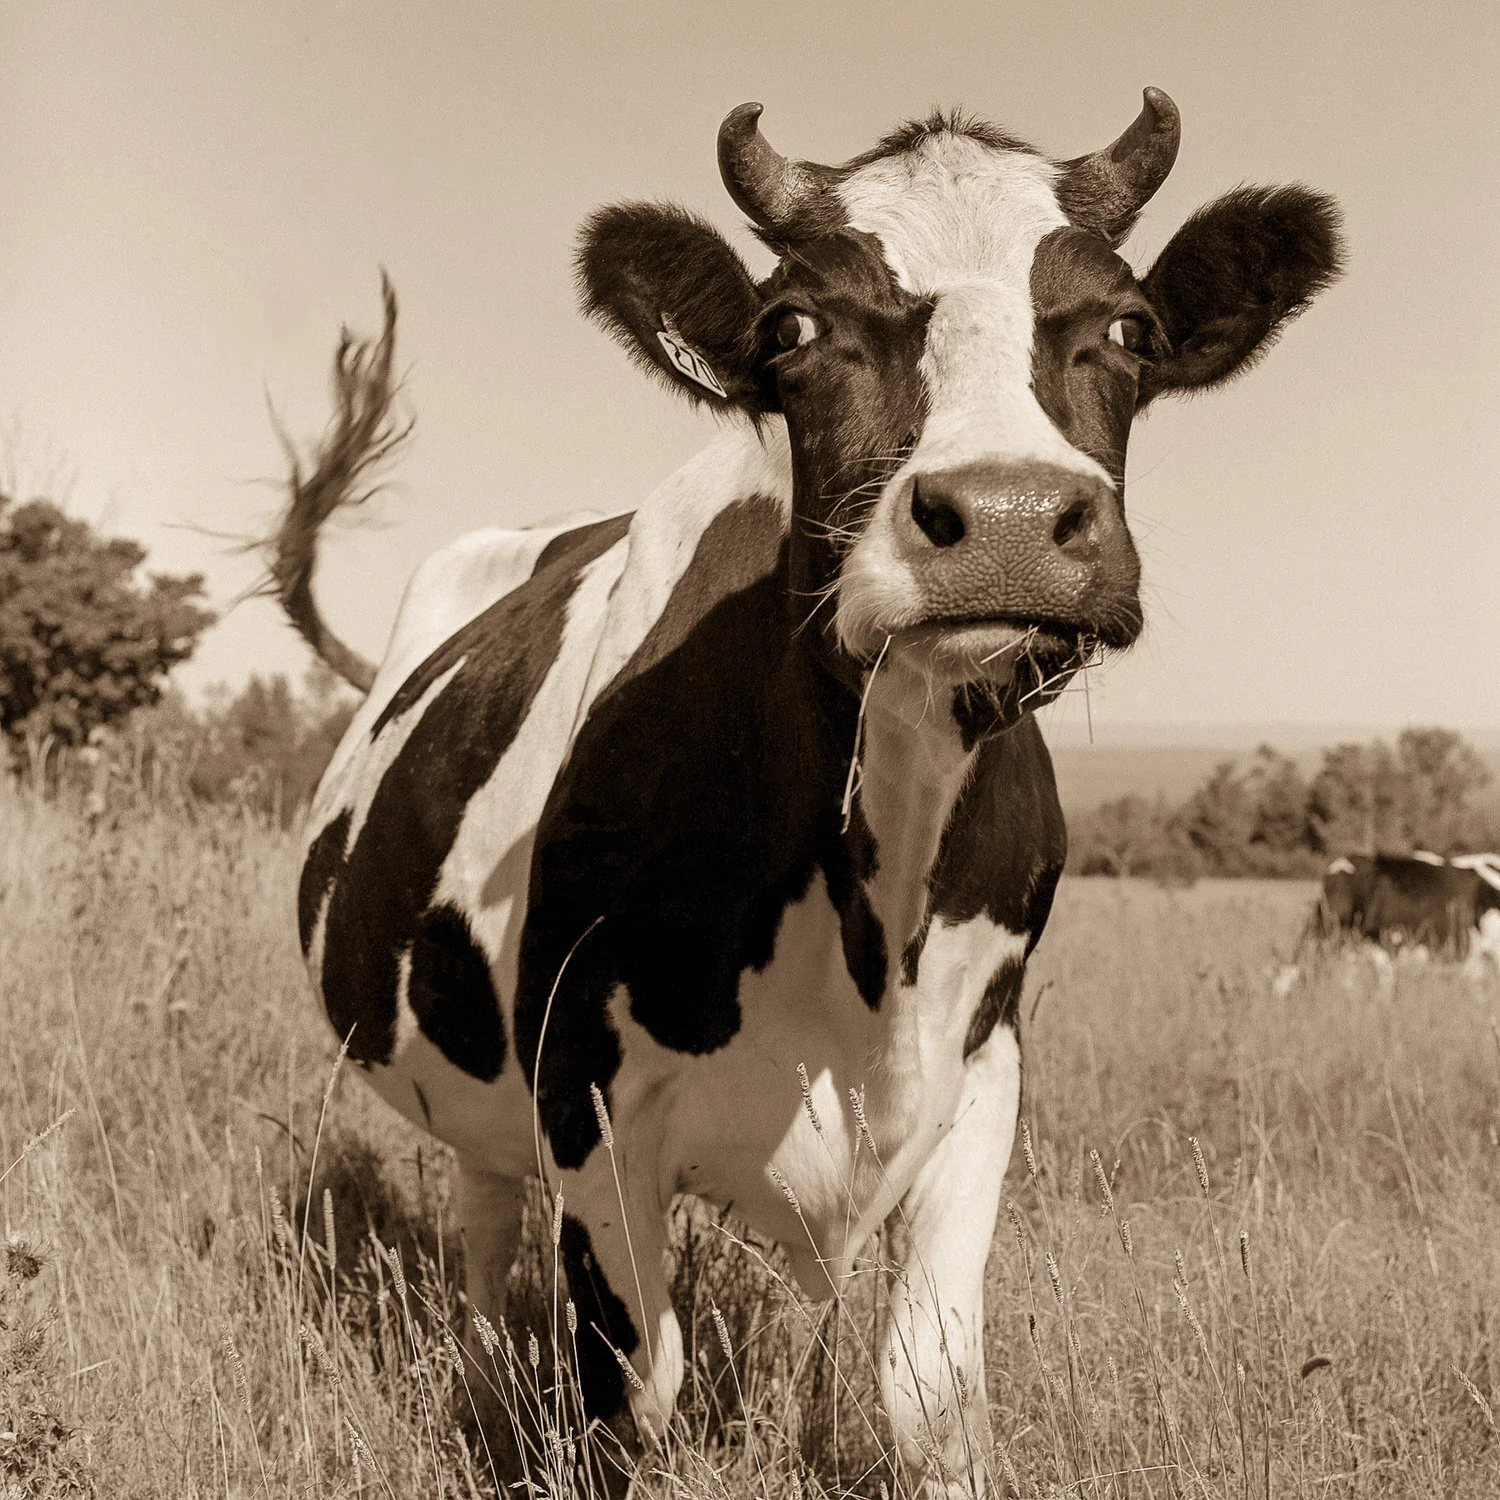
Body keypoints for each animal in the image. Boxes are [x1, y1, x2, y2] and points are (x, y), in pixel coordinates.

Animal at [275, 92, 1341, 1492]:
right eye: (793, 330)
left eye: (1130, 329)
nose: (1007, 516)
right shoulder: (586, 1100)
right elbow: (630, 1397)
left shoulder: (983, 1071)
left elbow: (929, 1392)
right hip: (484, 1098)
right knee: (487, 1244)